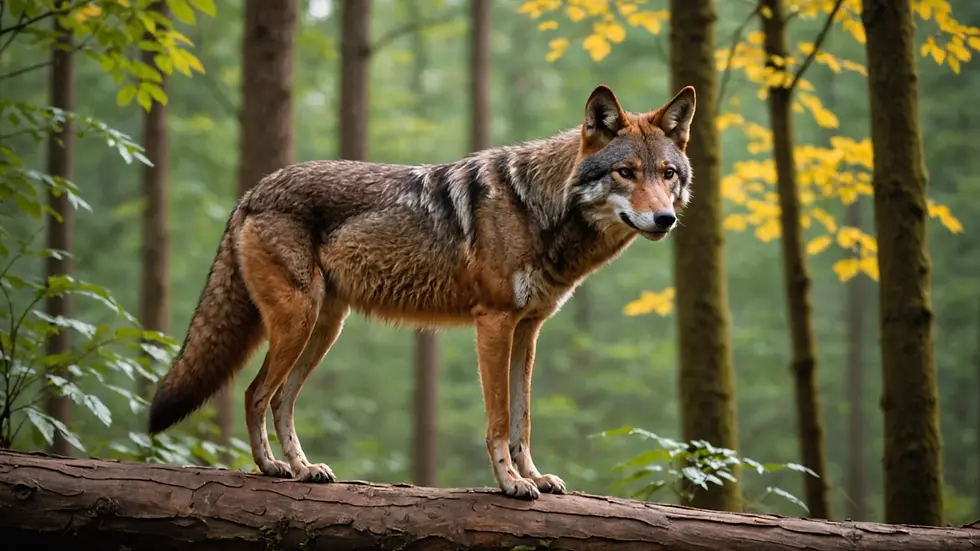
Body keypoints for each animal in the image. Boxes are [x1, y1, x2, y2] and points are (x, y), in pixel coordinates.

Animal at [147, 84, 697, 500]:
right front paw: (510, 484)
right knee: (255, 393)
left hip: (323, 331)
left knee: (281, 399)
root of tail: (252, 191)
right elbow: (500, 421)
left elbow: (523, 421)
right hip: (296, 323)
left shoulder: (528, 331)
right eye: (625, 172)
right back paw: (273, 469)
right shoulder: (493, 323)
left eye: (667, 174)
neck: (539, 209)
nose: (665, 219)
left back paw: (305, 469)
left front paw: (535, 477)